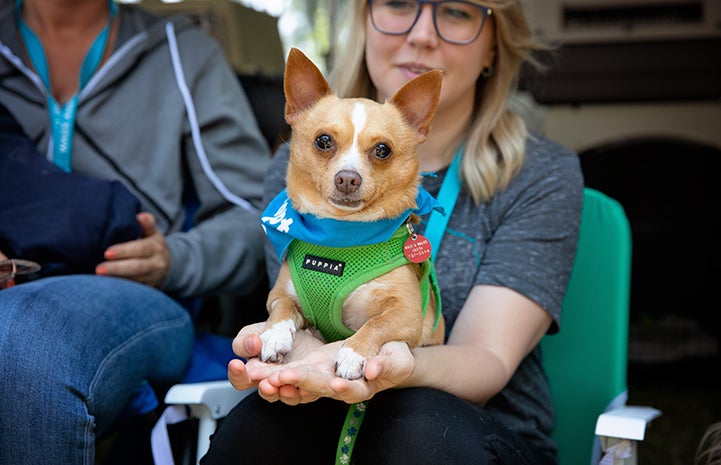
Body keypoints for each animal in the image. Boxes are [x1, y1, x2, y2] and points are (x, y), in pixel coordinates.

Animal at [256, 48, 442, 380]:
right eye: (323, 141)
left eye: (382, 150)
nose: (347, 178)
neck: (342, 235)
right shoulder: (279, 295)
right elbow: (283, 309)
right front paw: (275, 334)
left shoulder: (407, 313)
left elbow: (376, 323)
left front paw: (353, 353)